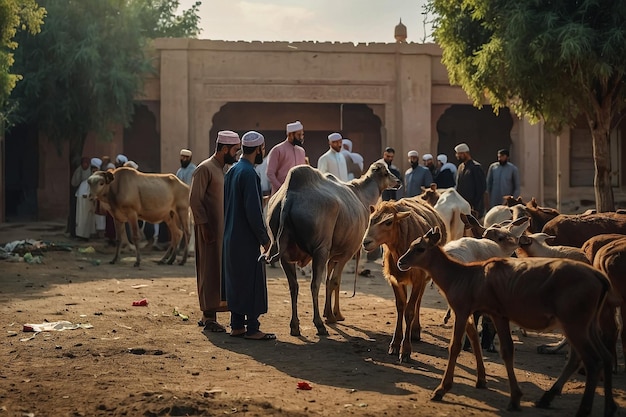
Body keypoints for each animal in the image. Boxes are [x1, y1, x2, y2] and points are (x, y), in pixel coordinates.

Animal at [398, 228, 612, 416]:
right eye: (411, 244)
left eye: (420, 248)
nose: (401, 261)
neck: (463, 276)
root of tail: (600, 277)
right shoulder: (497, 315)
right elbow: (506, 350)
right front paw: (513, 397)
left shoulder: (463, 311)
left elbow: (455, 346)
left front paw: (441, 389)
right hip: (588, 326)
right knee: (601, 355)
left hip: (574, 325)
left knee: (592, 360)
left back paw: (582, 408)